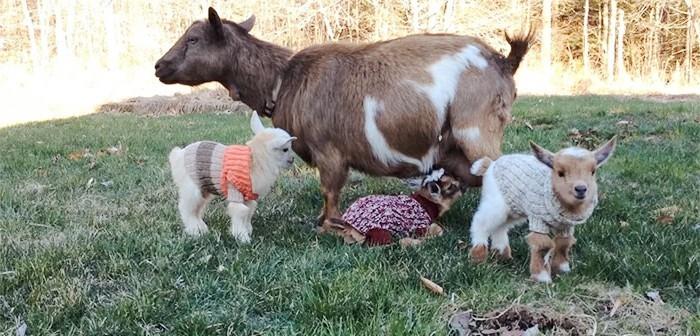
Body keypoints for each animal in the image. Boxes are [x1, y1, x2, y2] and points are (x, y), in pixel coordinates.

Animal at [169, 113, 296, 242]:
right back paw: (195, 231)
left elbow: (249, 211)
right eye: (285, 149)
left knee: (196, 210)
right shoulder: (236, 191)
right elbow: (240, 212)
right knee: (186, 208)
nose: (292, 159)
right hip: (192, 188)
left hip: (203, 189)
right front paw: (242, 237)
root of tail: (177, 155)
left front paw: (248, 230)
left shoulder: (247, 196)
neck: (256, 158)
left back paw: (201, 228)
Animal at [336, 169, 468, 245]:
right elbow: (437, 229)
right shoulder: (420, 225)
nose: (465, 187)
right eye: (451, 187)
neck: (426, 203)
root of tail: (349, 226)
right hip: (380, 231)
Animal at [468, 137, 616, 284]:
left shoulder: (565, 226)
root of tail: (491, 164)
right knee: (480, 221)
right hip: (496, 201)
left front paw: (562, 269)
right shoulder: (538, 219)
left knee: (501, 227)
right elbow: (542, 244)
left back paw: (502, 254)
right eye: (560, 173)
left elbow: (563, 243)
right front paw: (542, 277)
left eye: (593, 172)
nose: (581, 189)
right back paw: (478, 255)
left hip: (512, 207)